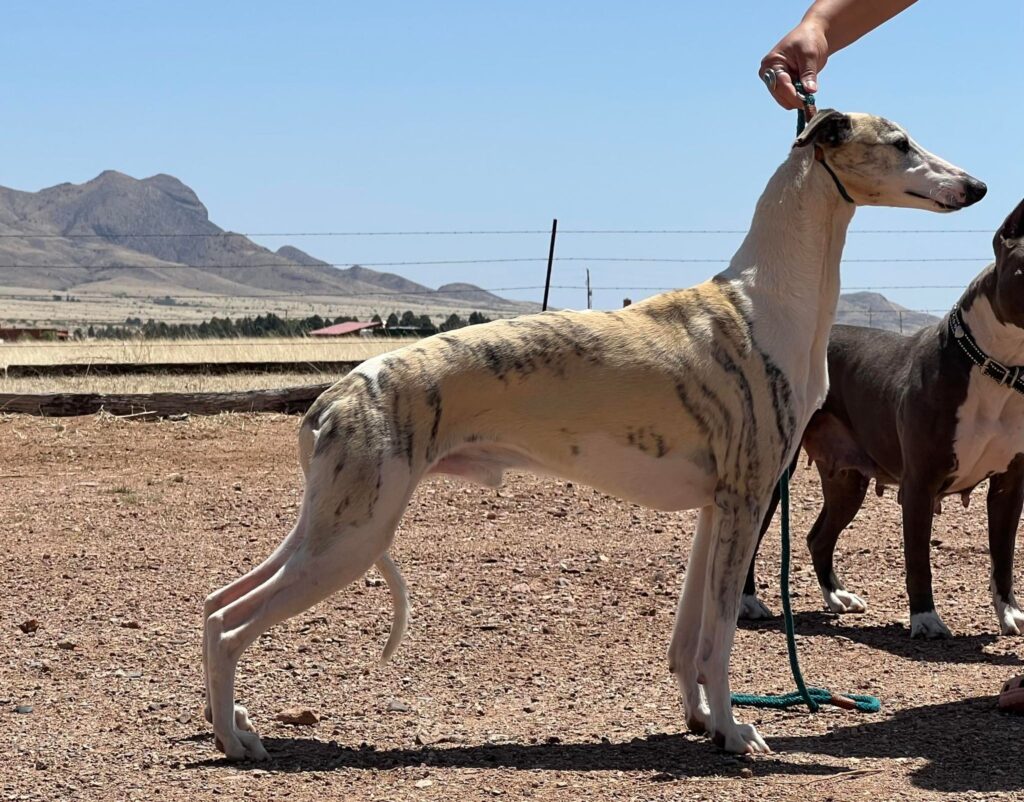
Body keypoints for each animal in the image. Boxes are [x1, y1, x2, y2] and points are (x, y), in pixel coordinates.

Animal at [197, 108, 983, 757]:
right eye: (901, 142)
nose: (977, 186)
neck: (767, 299)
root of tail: (334, 396)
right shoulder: (746, 499)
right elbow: (720, 639)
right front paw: (737, 734)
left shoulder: (716, 509)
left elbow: (689, 637)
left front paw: (702, 720)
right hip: (353, 535)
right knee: (233, 623)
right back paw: (238, 743)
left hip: (330, 524)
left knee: (214, 606)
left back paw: (232, 724)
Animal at [745, 198, 1024, 639]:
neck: (992, 364)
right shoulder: (919, 484)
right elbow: (918, 560)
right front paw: (926, 619)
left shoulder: (1009, 486)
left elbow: (1004, 557)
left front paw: (1010, 613)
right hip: (775, 475)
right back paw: (748, 602)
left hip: (847, 478)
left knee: (819, 537)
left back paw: (837, 597)